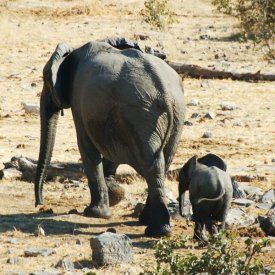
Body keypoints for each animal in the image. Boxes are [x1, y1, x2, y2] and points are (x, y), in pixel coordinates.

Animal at [35, 41, 185, 237]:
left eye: (46, 80)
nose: (39, 203)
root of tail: (165, 94)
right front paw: (114, 193)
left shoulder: (79, 101)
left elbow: (86, 146)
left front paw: (94, 213)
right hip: (172, 117)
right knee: (162, 163)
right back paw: (149, 223)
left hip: (140, 115)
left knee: (152, 165)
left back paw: (155, 230)